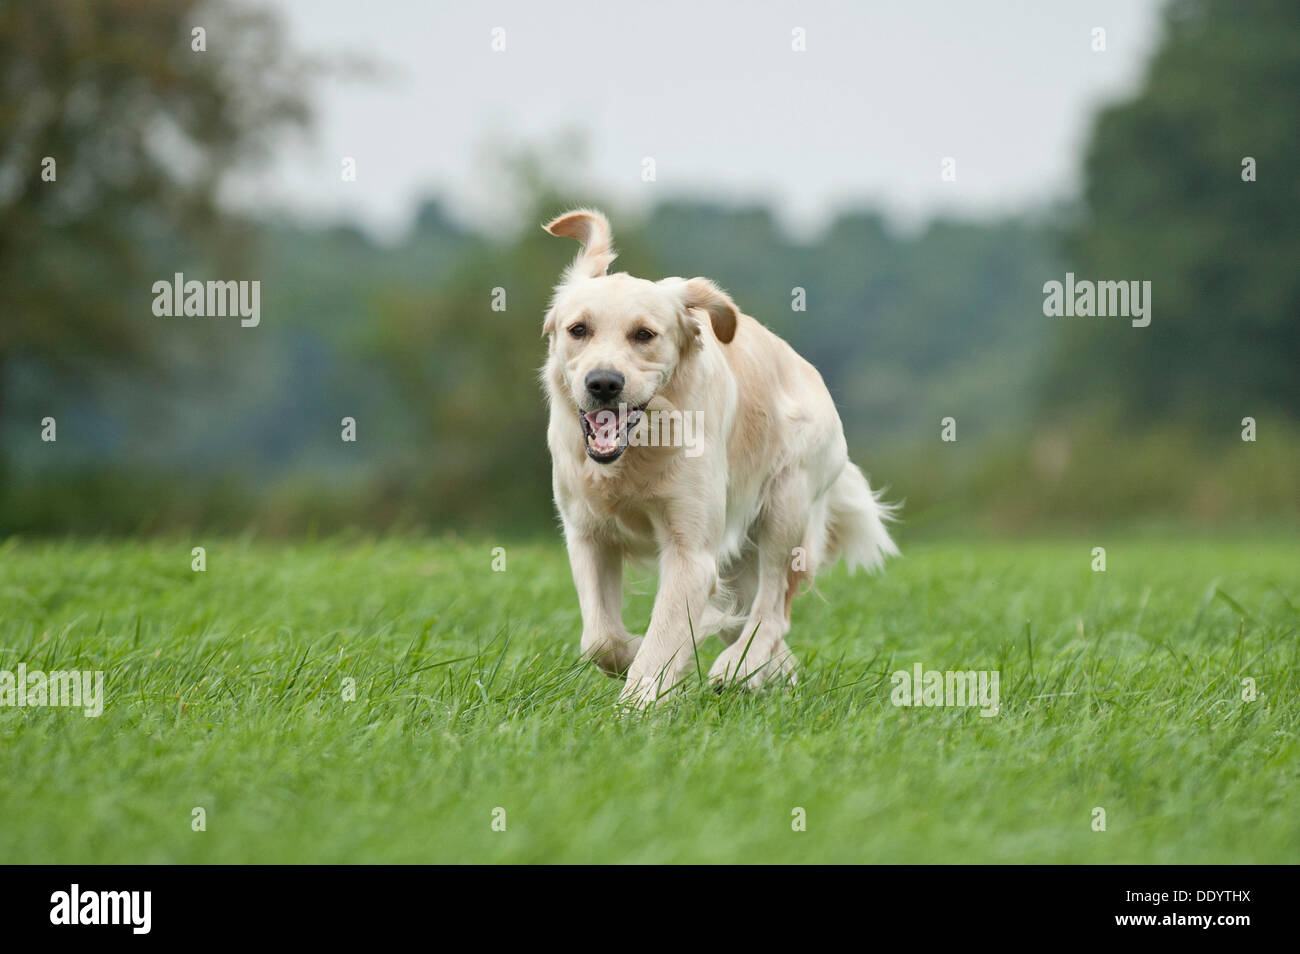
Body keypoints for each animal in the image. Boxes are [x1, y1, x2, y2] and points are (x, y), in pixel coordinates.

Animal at [538, 210, 894, 712]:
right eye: (578, 330)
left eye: (644, 335)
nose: (603, 383)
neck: (640, 450)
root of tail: (809, 371)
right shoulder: (588, 535)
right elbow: (600, 638)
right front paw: (632, 655)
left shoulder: (692, 554)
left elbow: (663, 636)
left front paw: (636, 704)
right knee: (757, 625)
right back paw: (769, 673)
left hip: (786, 507)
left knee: (772, 610)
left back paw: (737, 670)